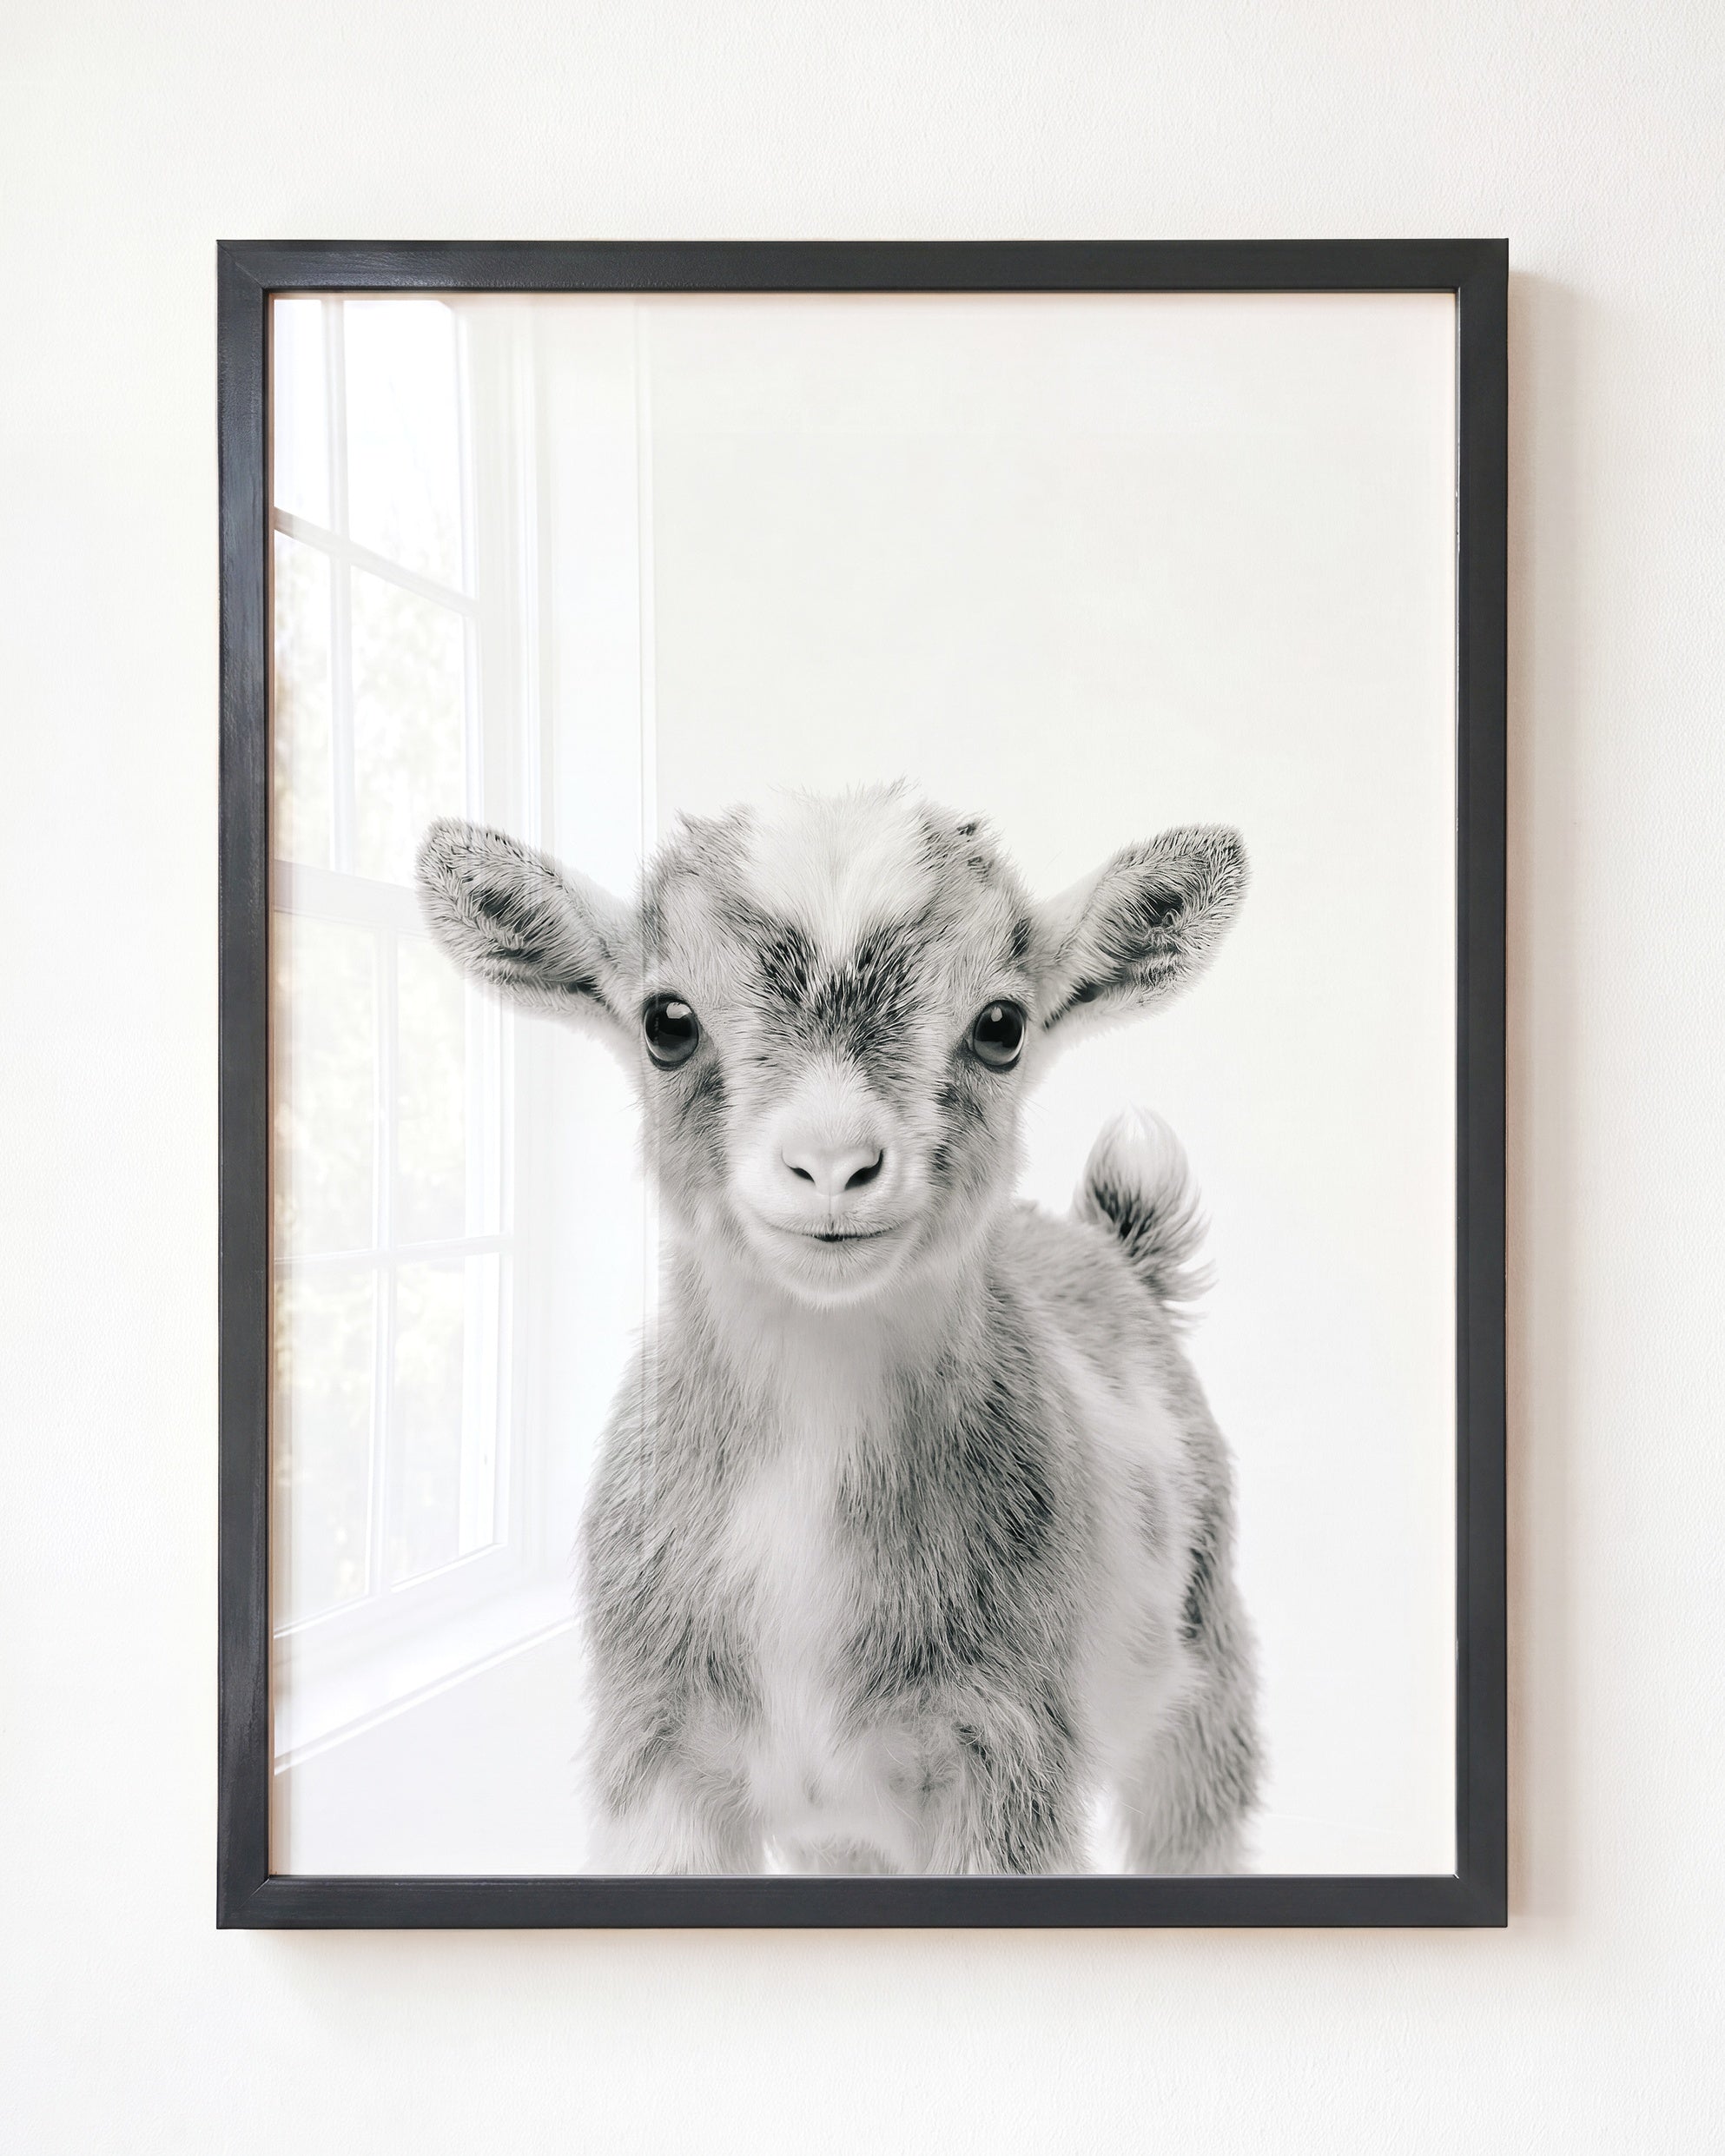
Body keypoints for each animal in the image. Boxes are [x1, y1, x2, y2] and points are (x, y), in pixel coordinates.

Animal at [418, 784, 1259, 1874]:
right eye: (666, 1021)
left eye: (1002, 1025)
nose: (831, 1165)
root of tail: (1114, 1251)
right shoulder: (659, 1757)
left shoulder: (1007, 1758)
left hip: (1205, 1676)